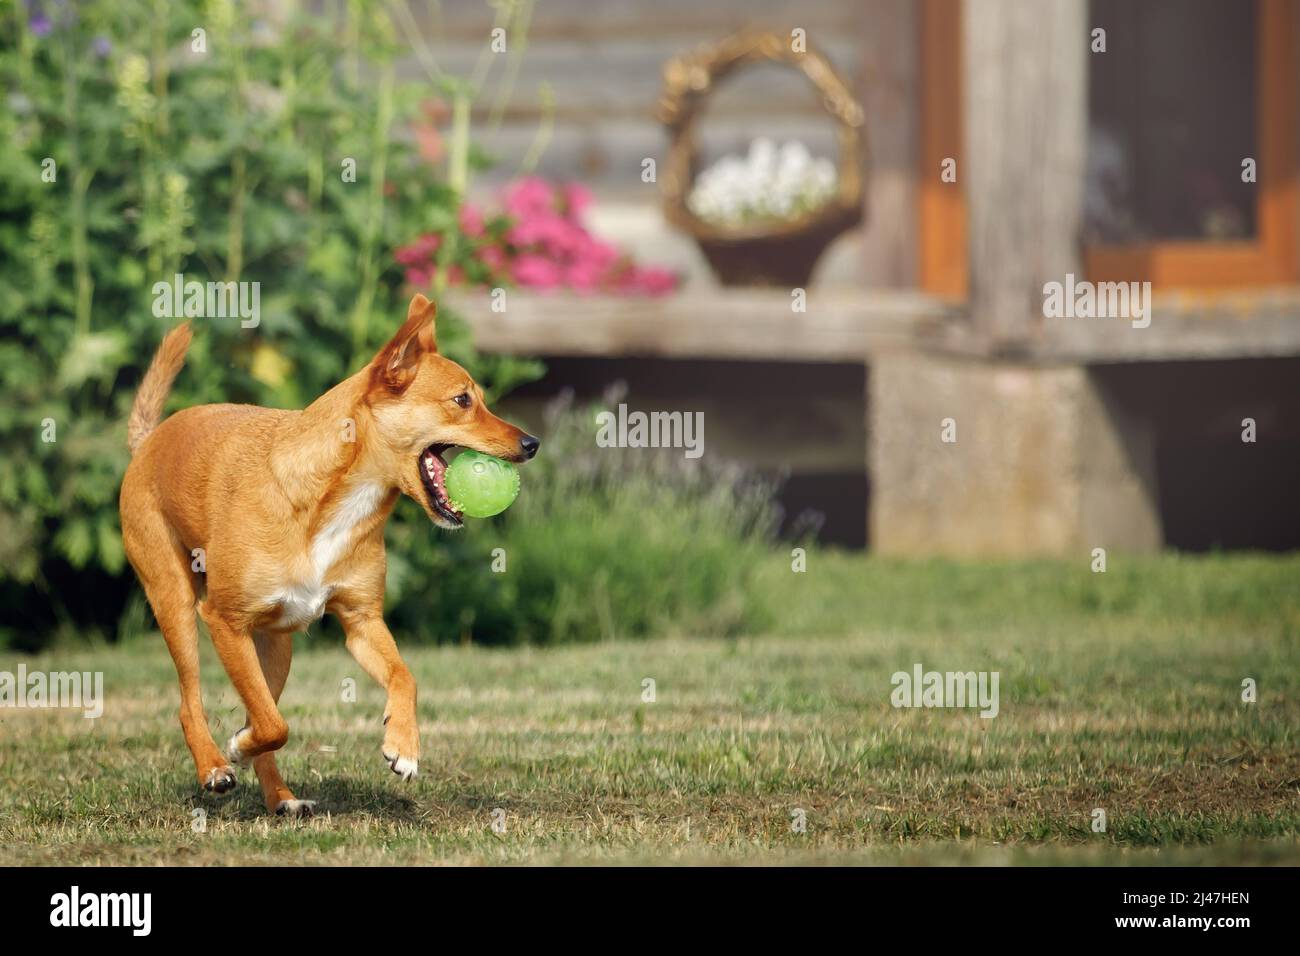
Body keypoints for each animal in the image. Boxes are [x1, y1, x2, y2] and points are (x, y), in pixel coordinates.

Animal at [116, 295, 533, 816]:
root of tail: (146, 443)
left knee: (262, 709)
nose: (532, 443)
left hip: (276, 645)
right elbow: (273, 724)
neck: (335, 499)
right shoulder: (224, 621)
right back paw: (214, 765)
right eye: (463, 401)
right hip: (176, 604)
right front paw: (235, 749)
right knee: (192, 702)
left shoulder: (362, 622)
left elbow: (403, 677)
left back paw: (280, 797)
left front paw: (404, 745)